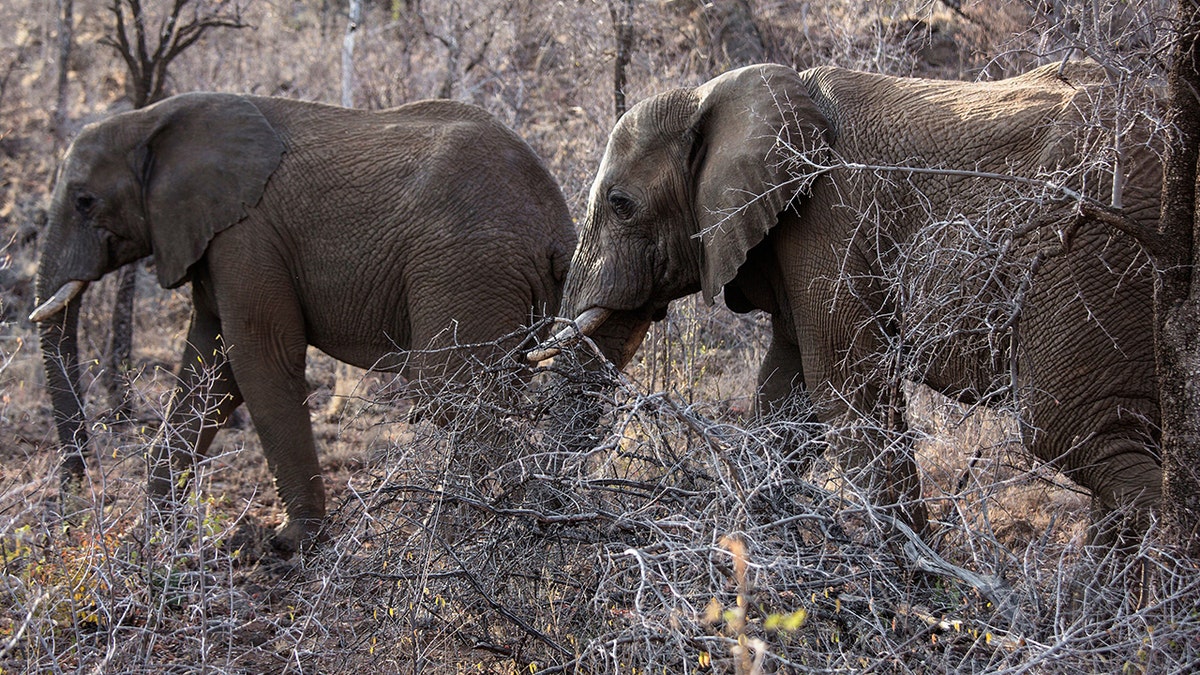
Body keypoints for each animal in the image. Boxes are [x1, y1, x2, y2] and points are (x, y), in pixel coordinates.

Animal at [32, 92, 576, 552]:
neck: (152, 119)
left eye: (84, 201)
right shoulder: (213, 240)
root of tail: (559, 227)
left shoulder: (246, 235)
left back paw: (458, 539)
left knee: (453, 397)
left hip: (466, 268)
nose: (72, 508)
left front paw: (291, 544)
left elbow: (259, 363)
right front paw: (153, 541)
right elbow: (207, 372)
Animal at [538, 61, 1162, 546]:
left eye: (620, 204)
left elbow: (847, 393)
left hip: (1088, 248)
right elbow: (785, 405)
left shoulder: (827, 223)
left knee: (1075, 430)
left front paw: (916, 595)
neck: (715, 93)